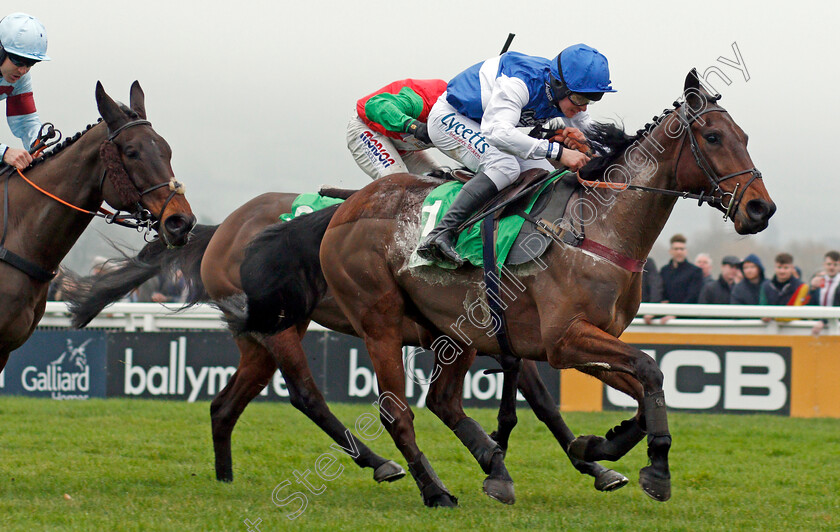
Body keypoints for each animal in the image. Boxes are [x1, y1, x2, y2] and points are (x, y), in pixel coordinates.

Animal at [69, 190, 628, 490]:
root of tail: (222, 228)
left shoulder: (497, 333)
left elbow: (541, 399)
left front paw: (593, 464)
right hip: (282, 329)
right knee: (306, 395)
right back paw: (381, 464)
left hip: (258, 337)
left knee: (225, 404)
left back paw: (225, 475)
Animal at [235, 70, 776, 508]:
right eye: (712, 136)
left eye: (746, 136)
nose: (760, 209)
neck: (598, 229)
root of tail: (342, 210)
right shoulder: (564, 339)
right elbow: (649, 370)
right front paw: (655, 469)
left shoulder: (582, 341)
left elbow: (645, 390)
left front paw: (597, 447)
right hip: (380, 323)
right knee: (396, 414)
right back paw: (434, 489)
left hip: (454, 333)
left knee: (443, 401)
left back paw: (494, 467)